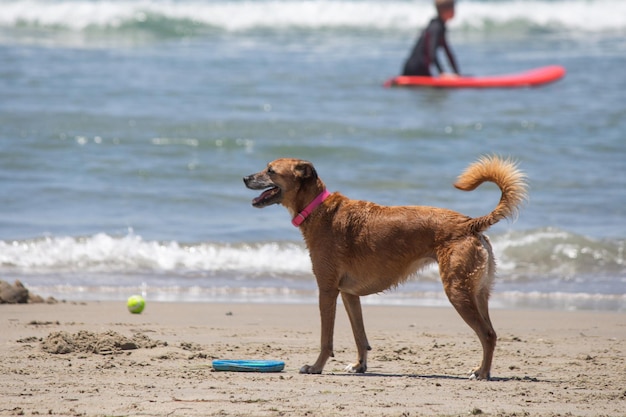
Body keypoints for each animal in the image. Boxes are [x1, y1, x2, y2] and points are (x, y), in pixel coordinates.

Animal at [241, 154, 524, 378]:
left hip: (458, 291)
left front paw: (316, 367)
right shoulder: (349, 294)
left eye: (270, 170)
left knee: (486, 334)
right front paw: (359, 366)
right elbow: (360, 336)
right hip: (478, 293)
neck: (317, 208)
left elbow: (326, 339)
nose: (244, 178)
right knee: (492, 332)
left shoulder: (327, 290)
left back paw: (482, 373)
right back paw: (481, 369)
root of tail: (470, 224)